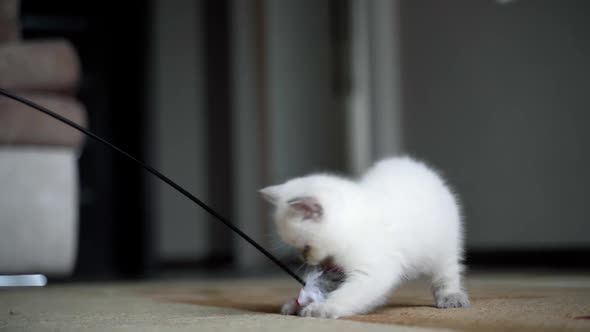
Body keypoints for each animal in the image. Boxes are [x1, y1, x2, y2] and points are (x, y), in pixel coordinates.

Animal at [262, 157, 472, 318]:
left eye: (306, 247)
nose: (304, 259)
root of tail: (422, 169)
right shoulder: (335, 270)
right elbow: (329, 287)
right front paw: (296, 303)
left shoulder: (373, 271)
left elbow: (347, 295)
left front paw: (321, 308)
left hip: (443, 247)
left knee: (447, 273)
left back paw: (451, 297)